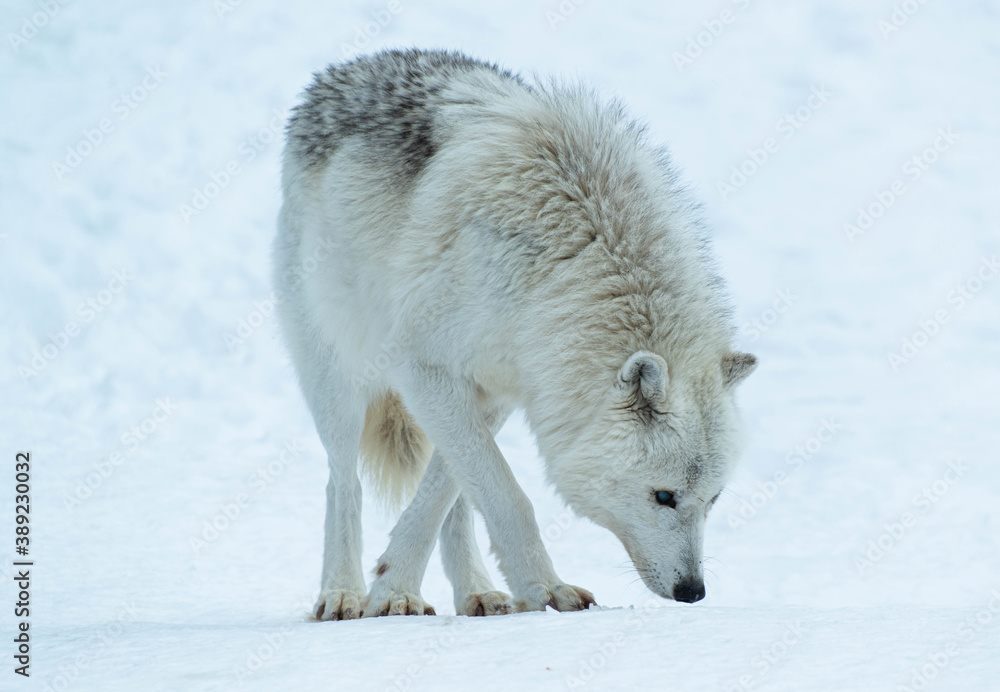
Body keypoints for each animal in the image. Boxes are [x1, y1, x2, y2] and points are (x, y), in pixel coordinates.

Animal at [273, 48, 757, 620]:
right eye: (664, 497)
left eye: (714, 498)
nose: (693, 592)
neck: (564, 264)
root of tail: (343, 70)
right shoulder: (423, 367)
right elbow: (506, 495)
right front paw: (542, 589)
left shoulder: (505, 385)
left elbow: (453, 490)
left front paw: (397, 586)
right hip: (340, 381)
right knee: (341, 482)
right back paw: (340, 593)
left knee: (450, 494)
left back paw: (477, 594)